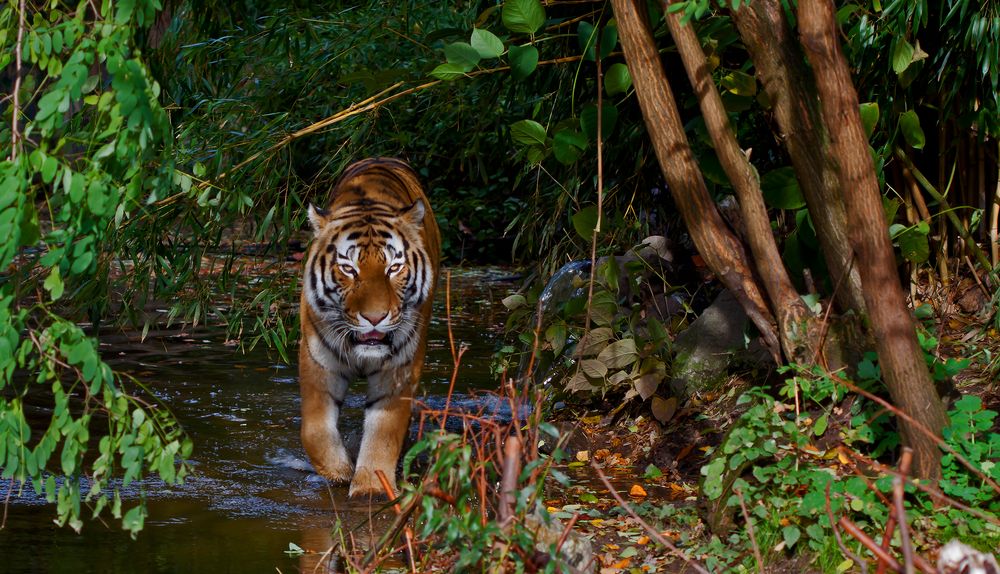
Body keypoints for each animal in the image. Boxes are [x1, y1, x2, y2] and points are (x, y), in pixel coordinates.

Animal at [296, 158, 438, 500]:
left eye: (394, 268)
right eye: (349, 269)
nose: (375, 317)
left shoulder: (398, 370)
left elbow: (384, 433)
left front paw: (371, 488)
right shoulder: (318, 361)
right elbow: (315, 430)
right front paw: (340, 471)